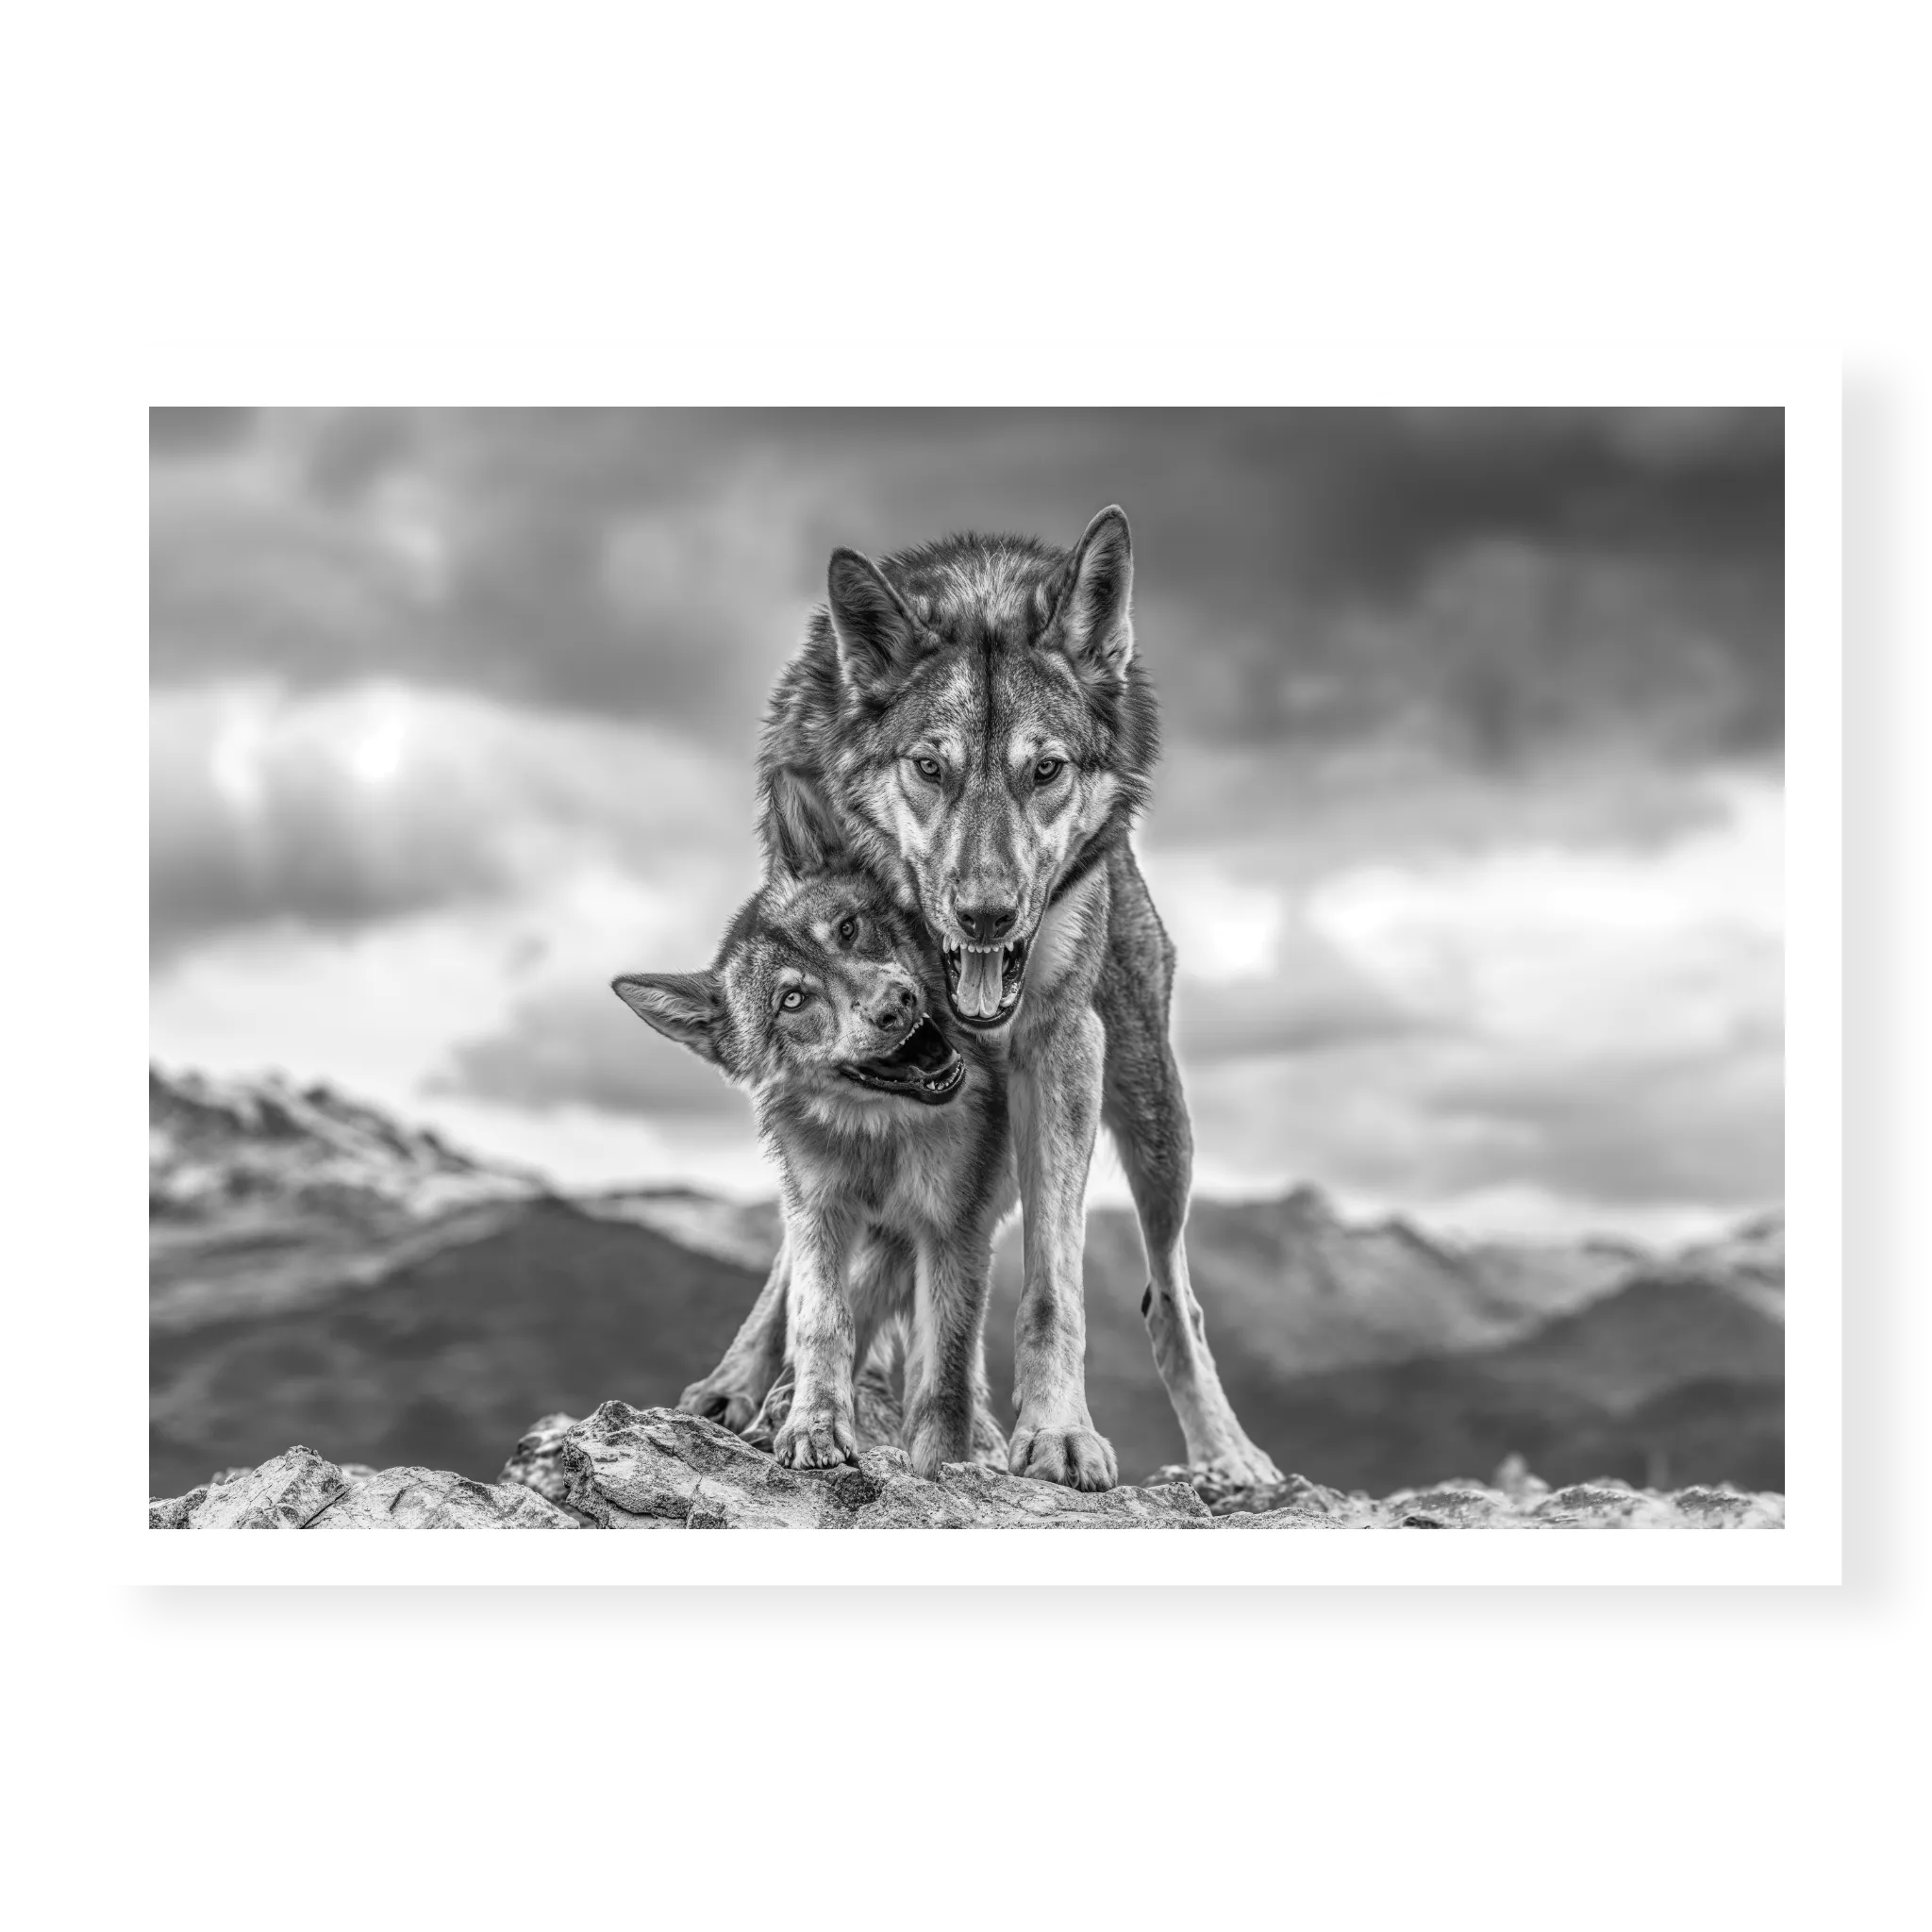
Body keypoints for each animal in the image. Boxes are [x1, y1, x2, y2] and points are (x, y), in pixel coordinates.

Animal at [612, 802, 1013, 1477]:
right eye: (793, 1000)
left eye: (848, 931)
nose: (896, 1005)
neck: (879, 1137)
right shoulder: (820, 1210)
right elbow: (822, 1319)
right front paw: (815, 1424)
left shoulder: (953, 1226)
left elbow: (945, 1369)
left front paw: (941, 1464)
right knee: (787, 1286)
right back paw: (734, 1390)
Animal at [745, 505, 1281, 1491]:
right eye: (930, 767)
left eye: (1047, 770)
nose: (987, 914)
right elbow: (825, 1266)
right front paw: (817, 1406)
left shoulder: (1062, 1049)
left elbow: (1052, 1286)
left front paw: (1056, 1432)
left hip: (1158, 1123)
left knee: (1172, 1301)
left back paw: (1228, 1456)